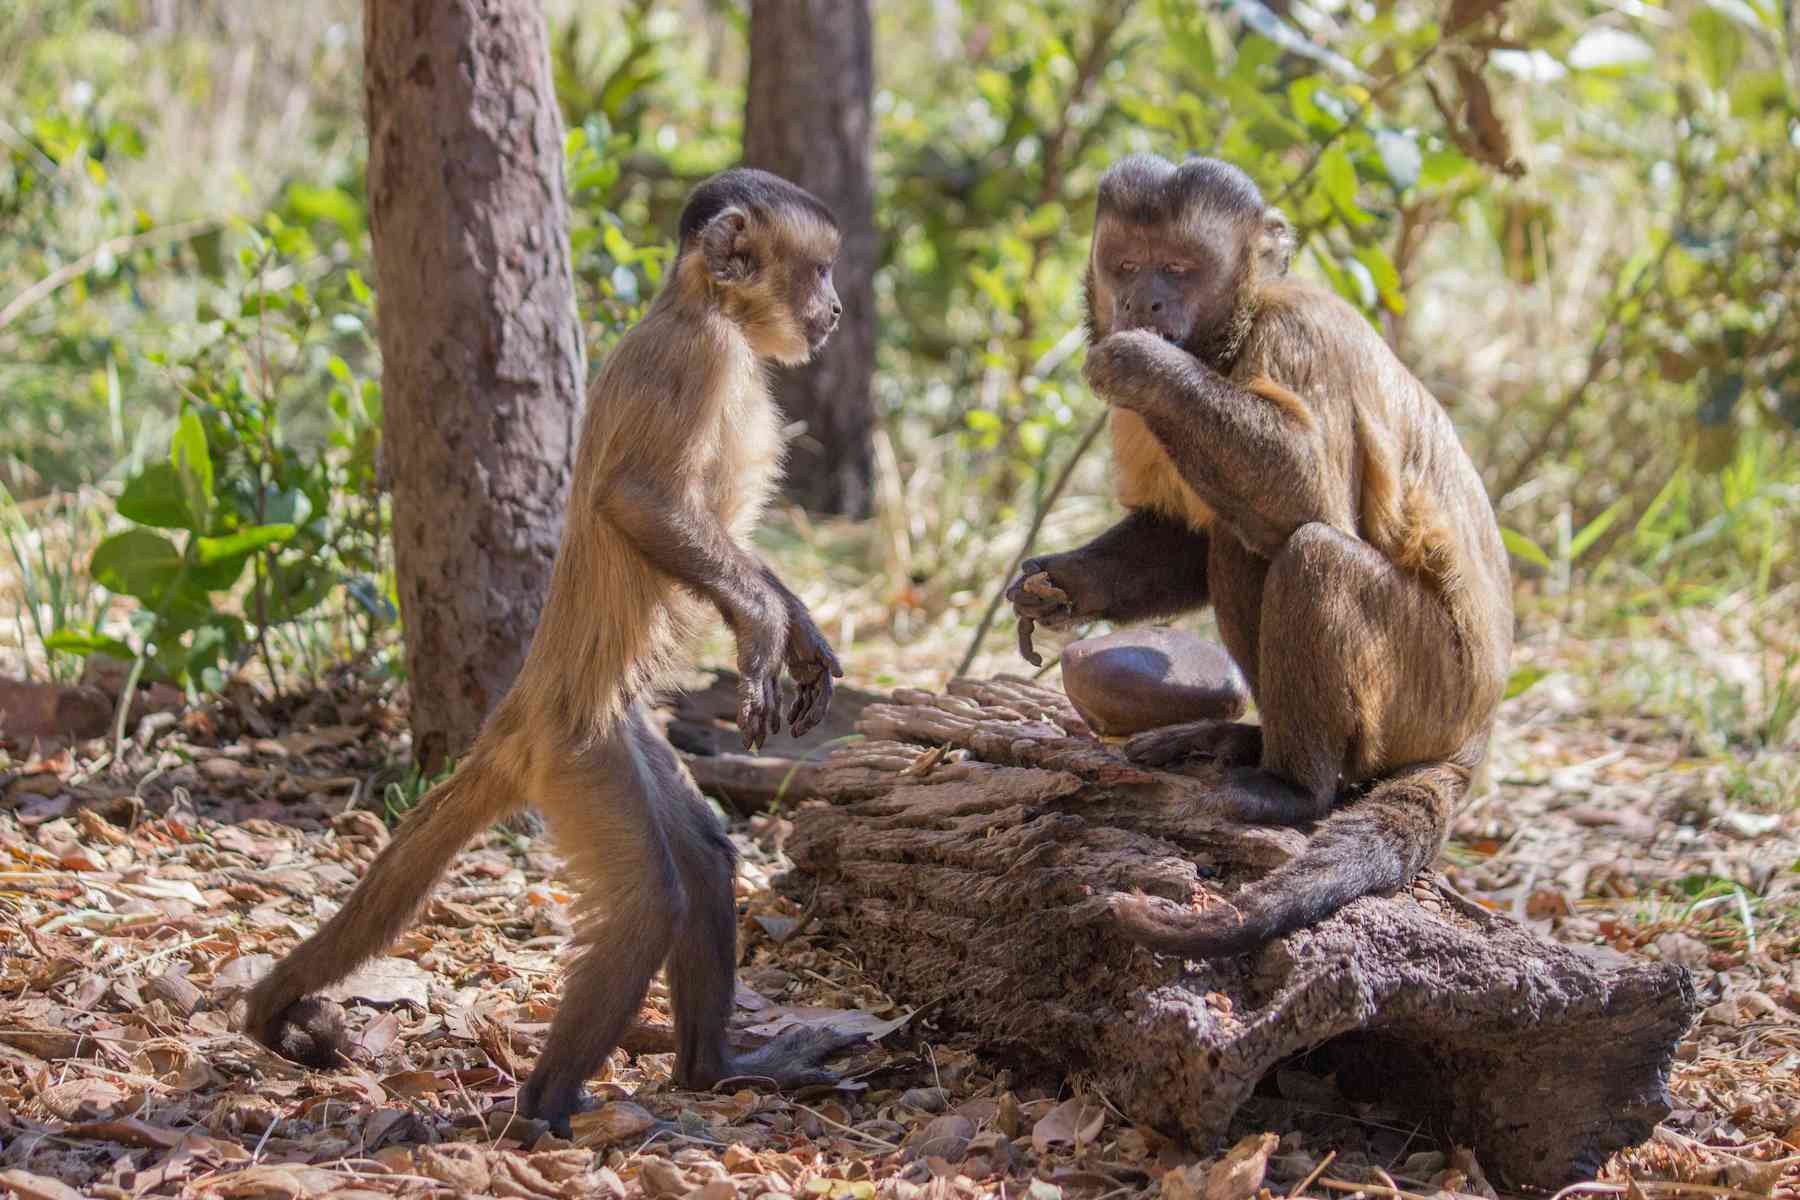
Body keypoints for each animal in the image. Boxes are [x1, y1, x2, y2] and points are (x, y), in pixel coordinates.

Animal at [243, 168, 860, 1133]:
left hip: (618, 732)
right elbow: (635, 500)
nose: (833, 308)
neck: (702, 307)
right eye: (821, 269)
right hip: (575, 756)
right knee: (648, 900)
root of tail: (520, 708)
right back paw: (543, 1108)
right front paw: (762, 630)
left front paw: (797, 631)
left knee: (702, 857)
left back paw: (711, 1070)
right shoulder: (696, 360)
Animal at [1007, 154, 1513, 959]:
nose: (1144, 302)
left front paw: (1146, 365)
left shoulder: (1296, 331)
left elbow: (1306, 493)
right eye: (1127, 266)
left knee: (1306, 551)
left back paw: (1295, 787)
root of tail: (1481, 723)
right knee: (1236, 546)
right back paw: (1247, 742)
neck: (1231, 337)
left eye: (1180, 269)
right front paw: (1060, 585)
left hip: (1435, 689)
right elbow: (1180, 540)